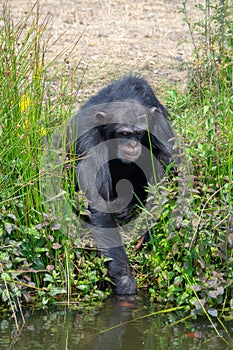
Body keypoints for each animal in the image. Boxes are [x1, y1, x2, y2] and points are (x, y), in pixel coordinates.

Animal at [73, 75, 177, 294]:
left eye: (138, 133)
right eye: (123, 133)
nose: (132, 144)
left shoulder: (158, 128)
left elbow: (172, 173)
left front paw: (147, 234)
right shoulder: (90, 137)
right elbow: (97, 202)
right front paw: (125, 280)